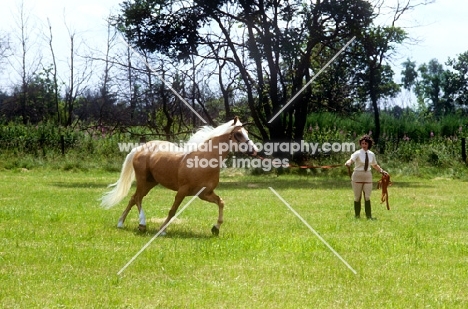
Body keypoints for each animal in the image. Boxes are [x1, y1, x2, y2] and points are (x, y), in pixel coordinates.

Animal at [100, 116, 258, 235]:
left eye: (246, 132)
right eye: (239, 134)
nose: (255, 150)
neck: (203, 160)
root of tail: (141, 148)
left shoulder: (204, 194)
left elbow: (221, 202)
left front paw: (215, 228)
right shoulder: (182, 191)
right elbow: (173, 210)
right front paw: (162, 231)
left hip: (151, 182)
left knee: (133, 198)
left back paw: (121, 223)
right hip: (142, 179)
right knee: (138, 198)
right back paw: (142, 224)